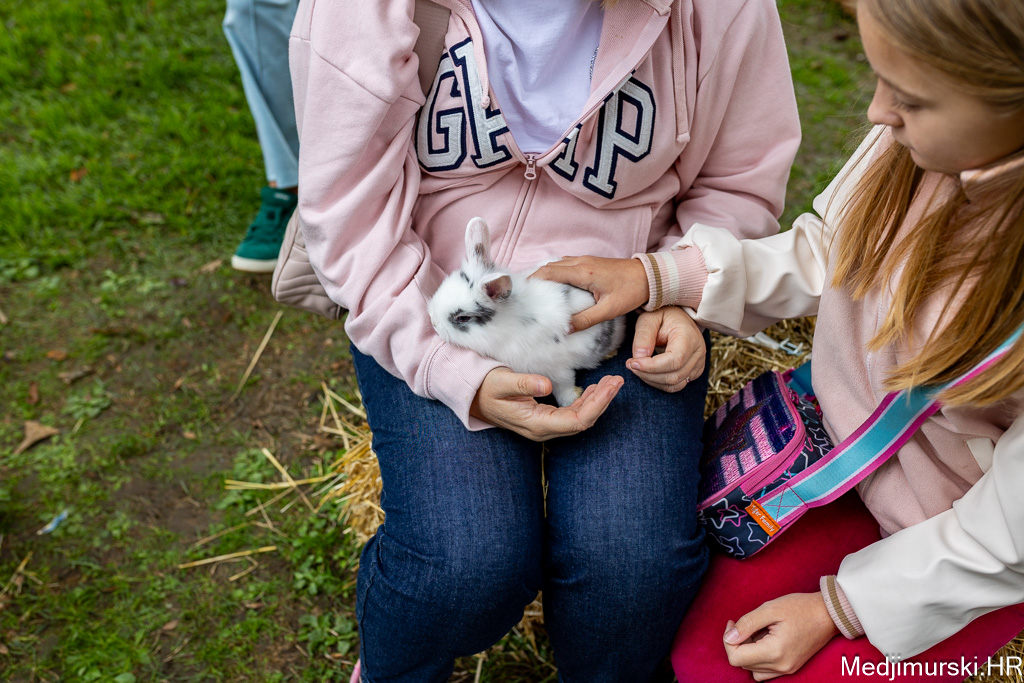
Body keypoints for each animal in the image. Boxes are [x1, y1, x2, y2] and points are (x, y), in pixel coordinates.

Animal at [428, 217, 626, 407]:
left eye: (463, 318)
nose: (434, 324)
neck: (510, 325)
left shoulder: (556, 367)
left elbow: (563, 384)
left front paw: (571, 400)